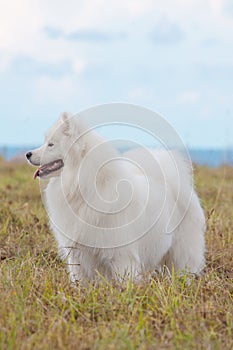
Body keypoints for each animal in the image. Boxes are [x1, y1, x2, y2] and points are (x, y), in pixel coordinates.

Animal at [26, 113, 206, 284]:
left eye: (51, 144)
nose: (27, 153)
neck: (83, 186)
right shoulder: (78, 254)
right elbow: (80, 280)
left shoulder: (121, 254)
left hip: (182, 252)